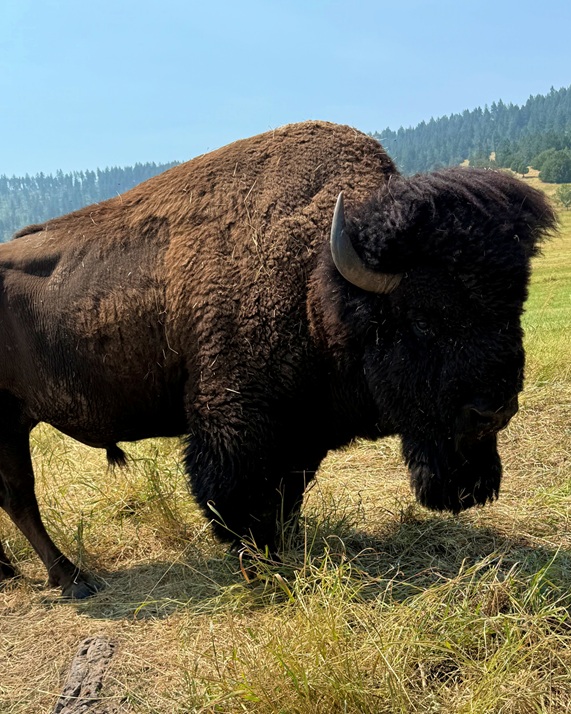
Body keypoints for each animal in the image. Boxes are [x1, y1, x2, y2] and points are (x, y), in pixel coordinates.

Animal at [0, 121, 556, 598]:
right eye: (422, 319)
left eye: (515, 306)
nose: (494, 410)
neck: (320, 279)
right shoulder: (238, 425)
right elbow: (242, 499)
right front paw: (261, 569)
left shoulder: (300, 433)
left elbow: (288, 496)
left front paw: (284, 552)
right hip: (9, 424)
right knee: (20, 497)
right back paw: (73, 579)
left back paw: (14, 572)